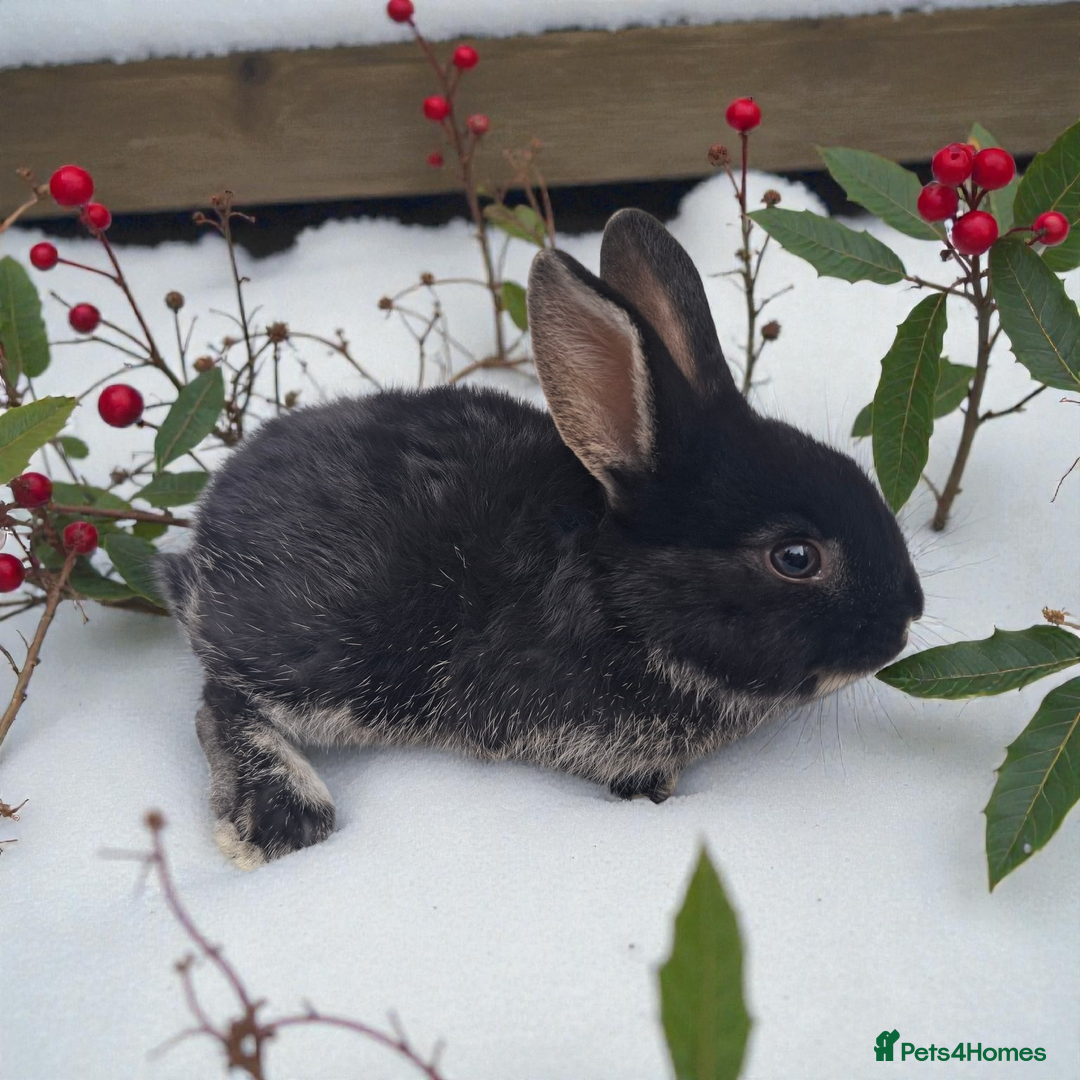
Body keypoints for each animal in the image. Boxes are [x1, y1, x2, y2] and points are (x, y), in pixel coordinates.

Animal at [157, 208, 924, 869]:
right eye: (795, 557)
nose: (907, 616)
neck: (616, 594)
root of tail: (206, 534)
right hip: (336, 659)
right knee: (221, 702)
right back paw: (281, 819)